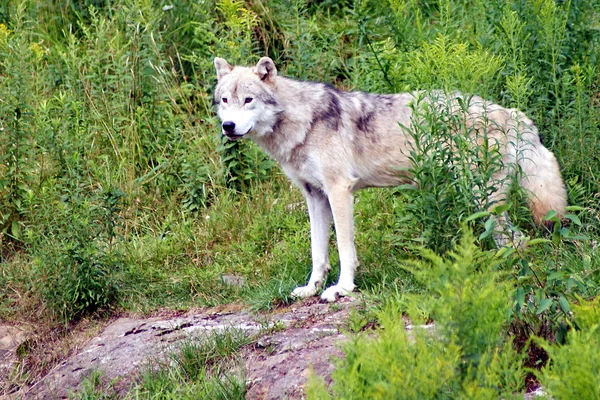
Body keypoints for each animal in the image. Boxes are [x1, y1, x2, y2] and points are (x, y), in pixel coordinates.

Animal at [214, 55, 568, 300]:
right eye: (225, 100)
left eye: (248, 100)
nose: (228, 127)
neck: (302, 121)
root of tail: (513, 113)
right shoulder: (314, 196)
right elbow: (318, 252)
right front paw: (312, 289)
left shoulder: (340, 191)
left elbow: (344, 250)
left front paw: (342, 289)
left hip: (483, 199)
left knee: (517, 241)